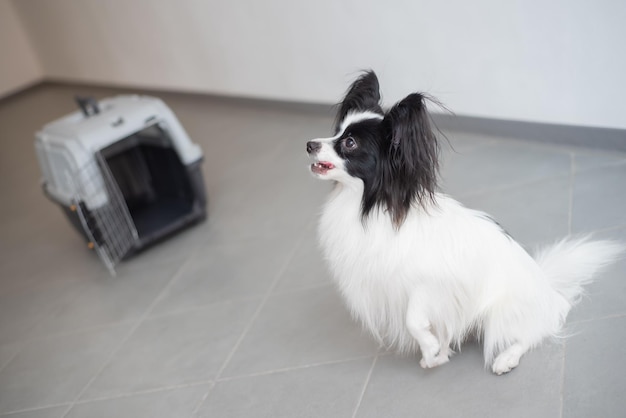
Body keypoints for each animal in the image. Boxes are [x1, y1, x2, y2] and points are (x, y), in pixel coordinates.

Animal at [304, 70, 620, 374]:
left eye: (349, 143)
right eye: (336, 132)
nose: (309, 144)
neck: (366, 206)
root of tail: (547, 289)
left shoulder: (430, 284)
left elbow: (413, 319)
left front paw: (430, 347)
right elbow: (430, 325)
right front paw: (435, 354)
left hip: (501, 314)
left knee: (532, 334)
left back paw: (506, 358)